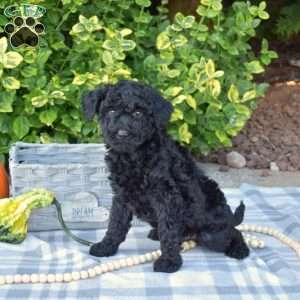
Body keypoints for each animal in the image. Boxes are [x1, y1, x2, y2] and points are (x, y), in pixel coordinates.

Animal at [82, 81, 248, 274]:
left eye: (138, 113)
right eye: (111, 111)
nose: (122, 134)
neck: (133, 156)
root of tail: (229, 218)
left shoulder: (166, 196)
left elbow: (168, 230)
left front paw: (169, 261)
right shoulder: (121, 195)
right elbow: (115, 223)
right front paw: (106, 246)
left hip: (212, 233)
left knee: (234, 232)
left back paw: (240, 249)